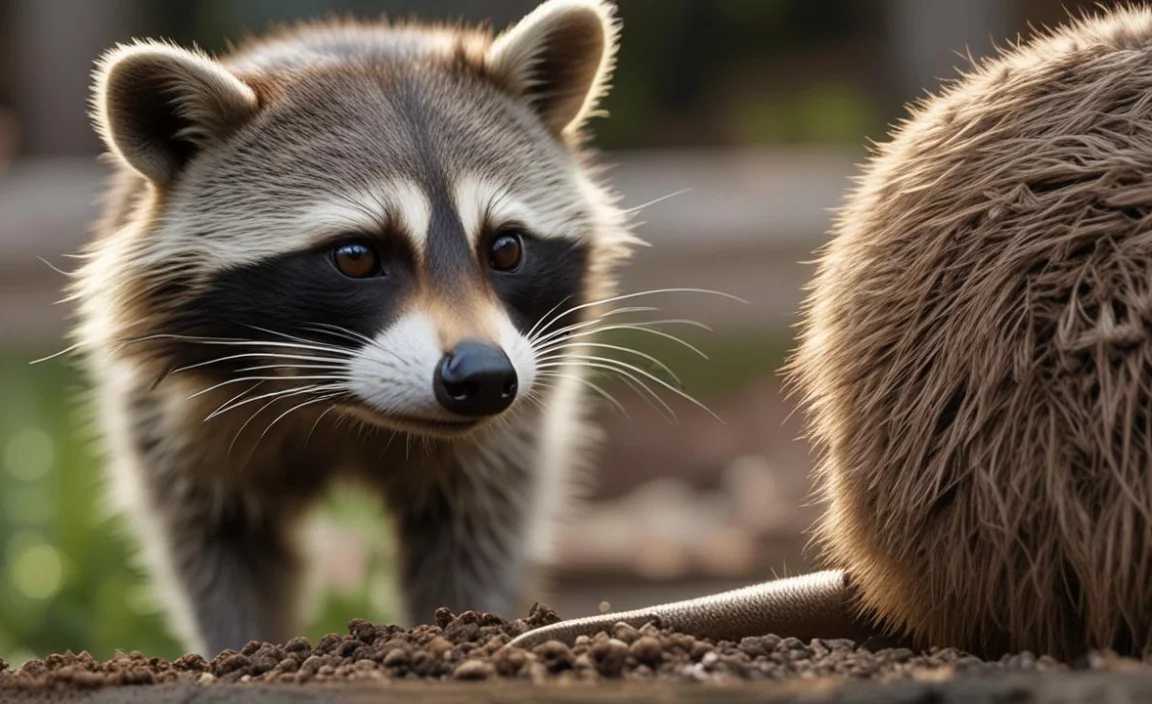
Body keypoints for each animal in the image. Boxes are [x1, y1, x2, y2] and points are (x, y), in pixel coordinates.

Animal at [70, 0, 637, 657]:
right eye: (356, 257)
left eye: (506, 248)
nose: (485, 376)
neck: (342, 405)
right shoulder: (171, 415)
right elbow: (215, 541)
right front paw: (236, 648)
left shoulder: (512, 423)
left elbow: (483, 525)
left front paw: (475, 624)